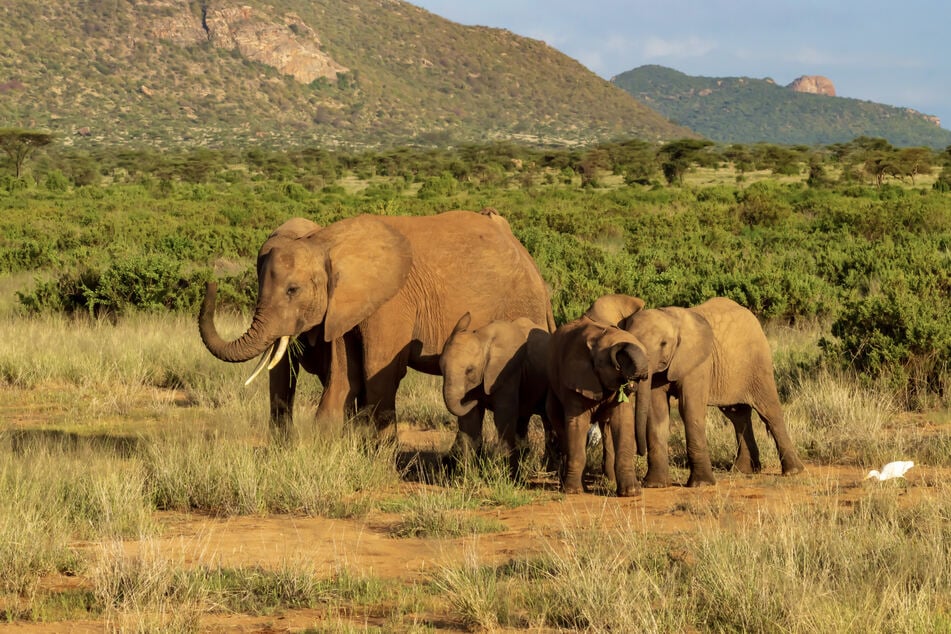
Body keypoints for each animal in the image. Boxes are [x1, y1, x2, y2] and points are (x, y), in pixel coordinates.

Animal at [201, 210, 556, 436]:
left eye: (292, 290)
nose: (211, 283)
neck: (324, 243)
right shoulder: (344, 308)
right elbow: (347, 377)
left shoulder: (390, 302)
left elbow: (378, 371)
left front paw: (378, 463)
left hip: (520, 308)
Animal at [438, 312, 552, 478]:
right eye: (440, 368)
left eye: (469, 370)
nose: (471, 401)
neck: (482, 338)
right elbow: (470, 420)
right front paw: (467, 477)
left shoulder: (507, 372)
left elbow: (504, 415)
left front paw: (506, 478)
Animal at [548, 314, 652, 494]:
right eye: (616, 365)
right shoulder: (574, 378)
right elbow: (577, 423)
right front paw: (573, 492)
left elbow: (623, 421)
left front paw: (632, 492)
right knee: (561, 427)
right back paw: (573, 485)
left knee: (606, 427)